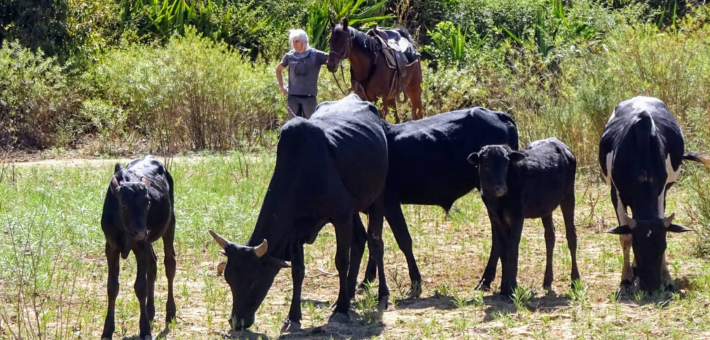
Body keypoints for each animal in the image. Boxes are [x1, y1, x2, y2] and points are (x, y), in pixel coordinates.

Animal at [209, 94, 390, 334]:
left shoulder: (340, 215)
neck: (303, 171)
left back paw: (382, 295)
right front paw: (293, 317)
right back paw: (348, 294)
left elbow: (341, 261)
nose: (237, 322)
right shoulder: (295, 229)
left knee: (376, 242)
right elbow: (298, 271)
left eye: (253, 281)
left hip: (377, 198)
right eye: (229, 279)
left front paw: (341, 311)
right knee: (360, 240)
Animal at [364, 107, 520, 298]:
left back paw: (485, 280)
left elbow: (403, 240)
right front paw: (366, 280)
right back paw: (486, 280)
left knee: (497, 236)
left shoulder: (389, 202)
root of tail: (499, 115)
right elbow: (373, 241)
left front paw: (415, 282)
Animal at [470, 137, 580, 294]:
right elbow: (502, 249)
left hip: (569, 196)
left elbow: (512, 249)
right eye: (486, 165)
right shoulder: (495, 217)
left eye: (506, 164)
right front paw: (504, 288)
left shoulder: (517, 216)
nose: (501, 188)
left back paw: (575, 280)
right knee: (550, 236)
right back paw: (547, 280)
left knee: (571, 235)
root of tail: (558, 142)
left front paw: (511, 288)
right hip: (546, 207)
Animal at [600, 96, 708, 292]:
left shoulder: (661, 192)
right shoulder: (615, 193)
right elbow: (625, 236)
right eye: (637, 248)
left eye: (663, 248)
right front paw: (626, 278)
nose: (651, 287)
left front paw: (666, 277)